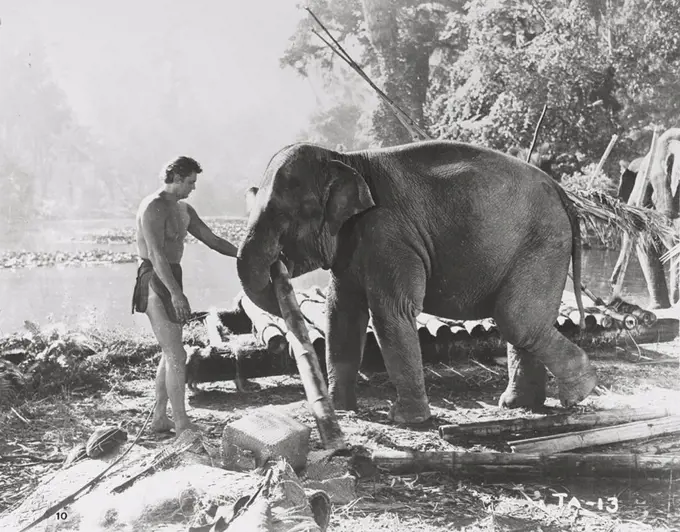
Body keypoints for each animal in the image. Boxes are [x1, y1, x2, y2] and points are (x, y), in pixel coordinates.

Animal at [236, 139, 596, 422]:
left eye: (282, 216)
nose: (278, 266)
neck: (346, 159)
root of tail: (563, 193)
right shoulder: (353, 245)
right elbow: (341, 314)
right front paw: (341, 410)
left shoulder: (389, 234)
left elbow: (390, 312)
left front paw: (405, 420)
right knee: (526, 321)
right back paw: (519, 405)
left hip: (544, 241)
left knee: (516, 319)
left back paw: (580, 390)